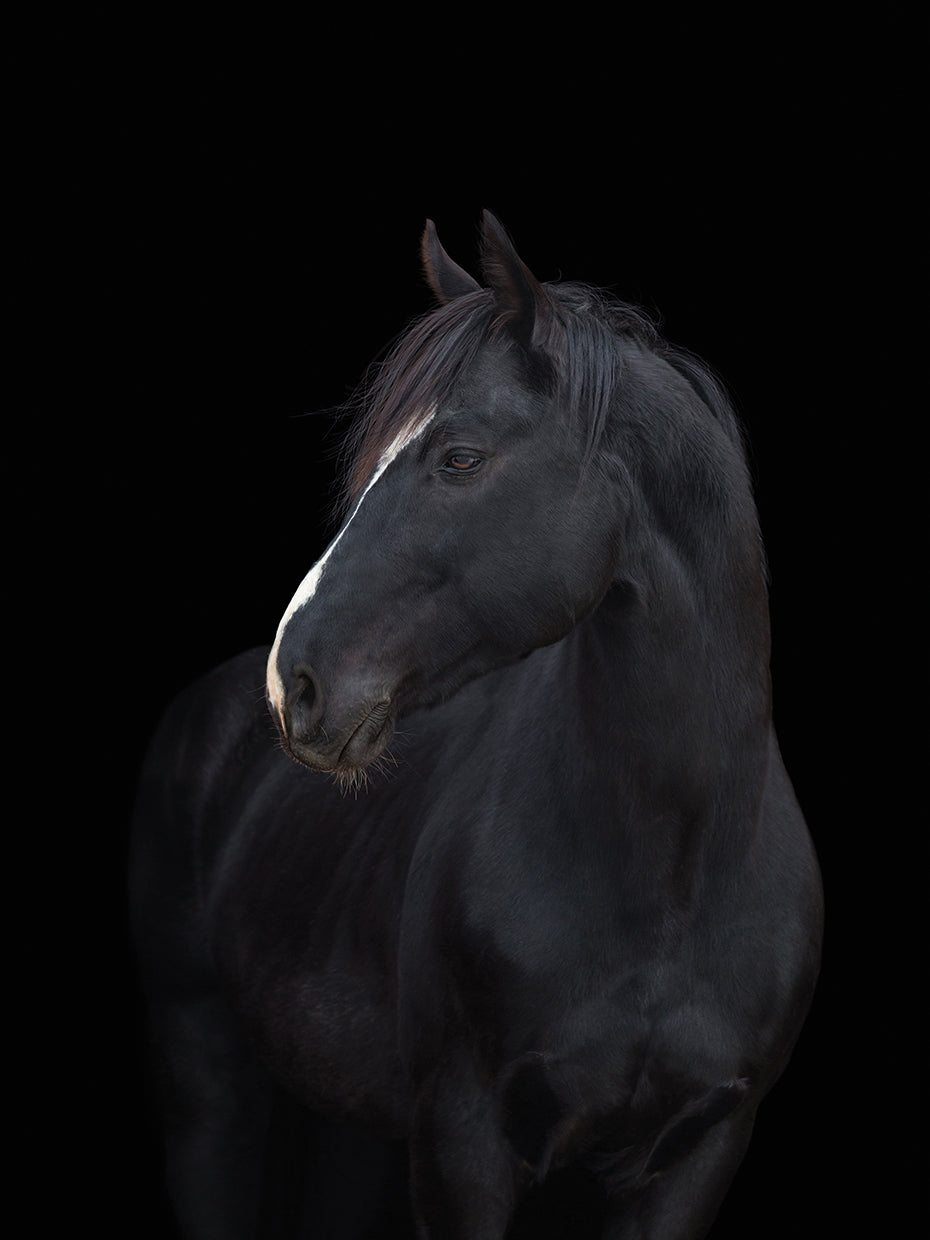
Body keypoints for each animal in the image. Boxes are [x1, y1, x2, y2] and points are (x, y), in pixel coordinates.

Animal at [131, 212, 823, 1239]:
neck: (677, 874)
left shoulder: (697, 1153)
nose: (296, 683)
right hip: (202, 1075)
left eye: (460, 457)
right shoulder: (462, 1141)